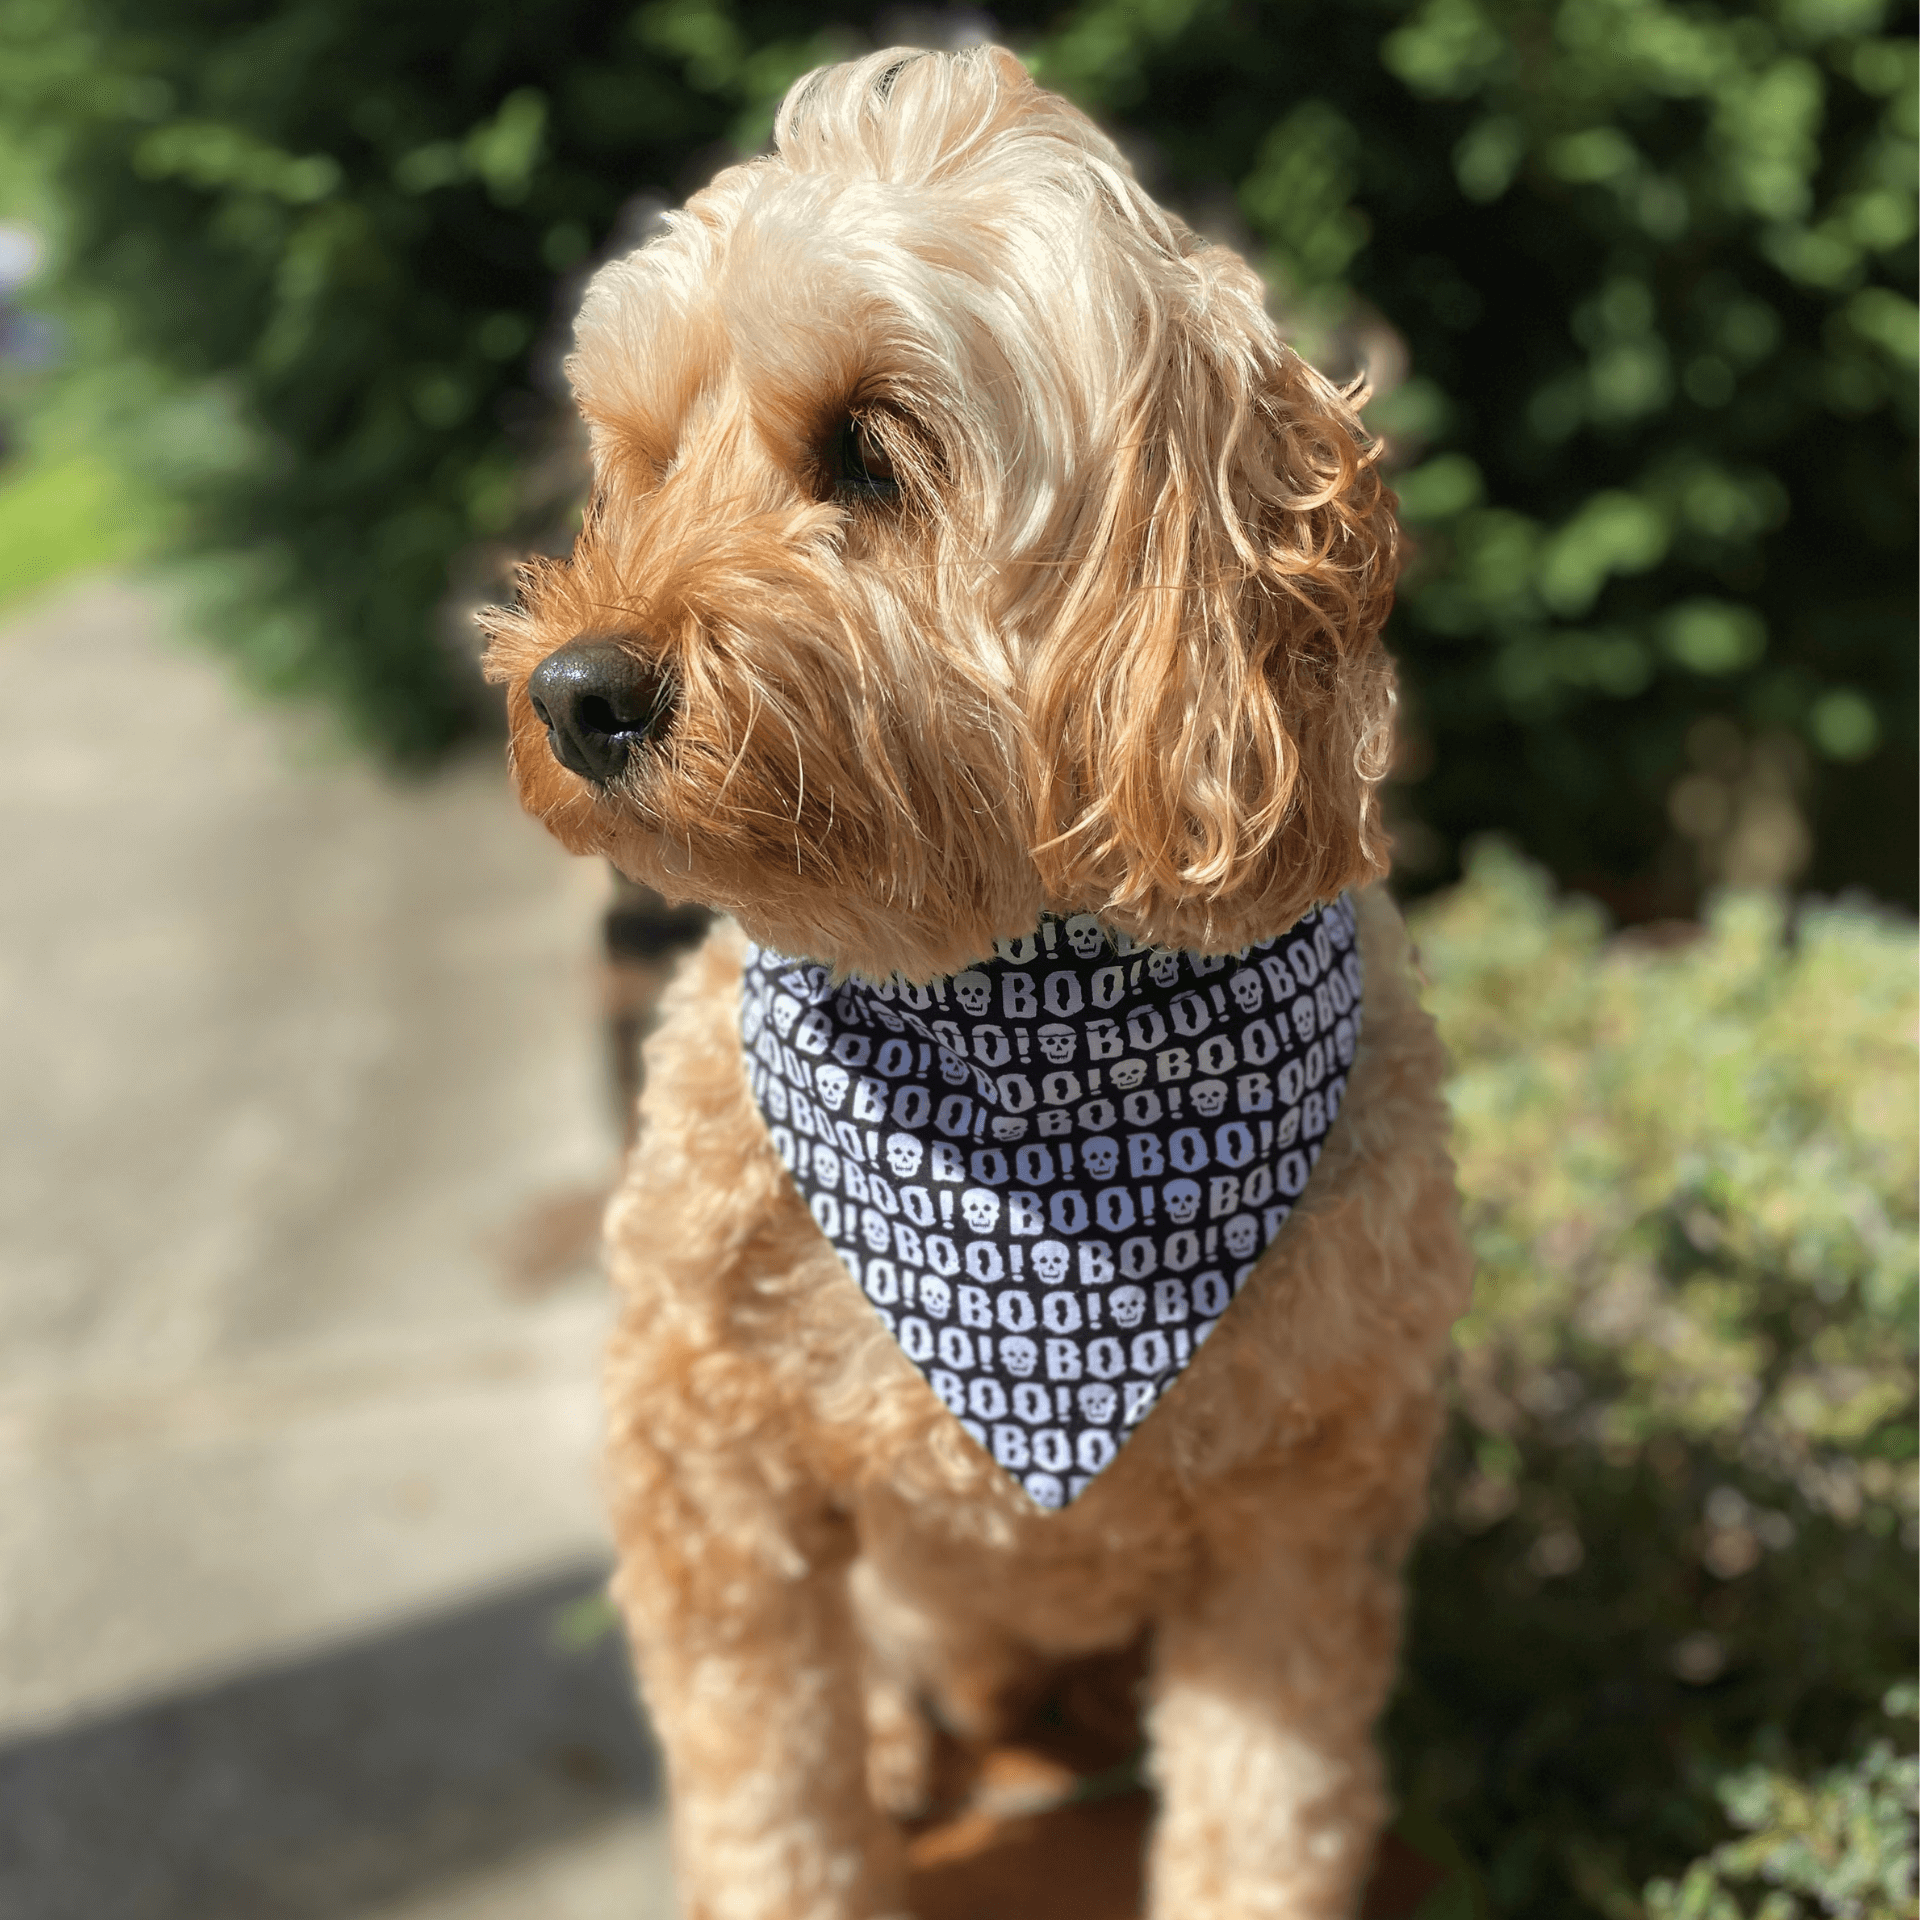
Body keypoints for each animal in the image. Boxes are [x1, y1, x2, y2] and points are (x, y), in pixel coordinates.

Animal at [480, 45, 1466, 1920]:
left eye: (869, 453)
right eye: (644, 461)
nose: (573, 692)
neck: (999, 1007)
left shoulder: (1305, 1513)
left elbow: (1266, 1809)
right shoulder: (709, 1472)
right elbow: (768, 1794)